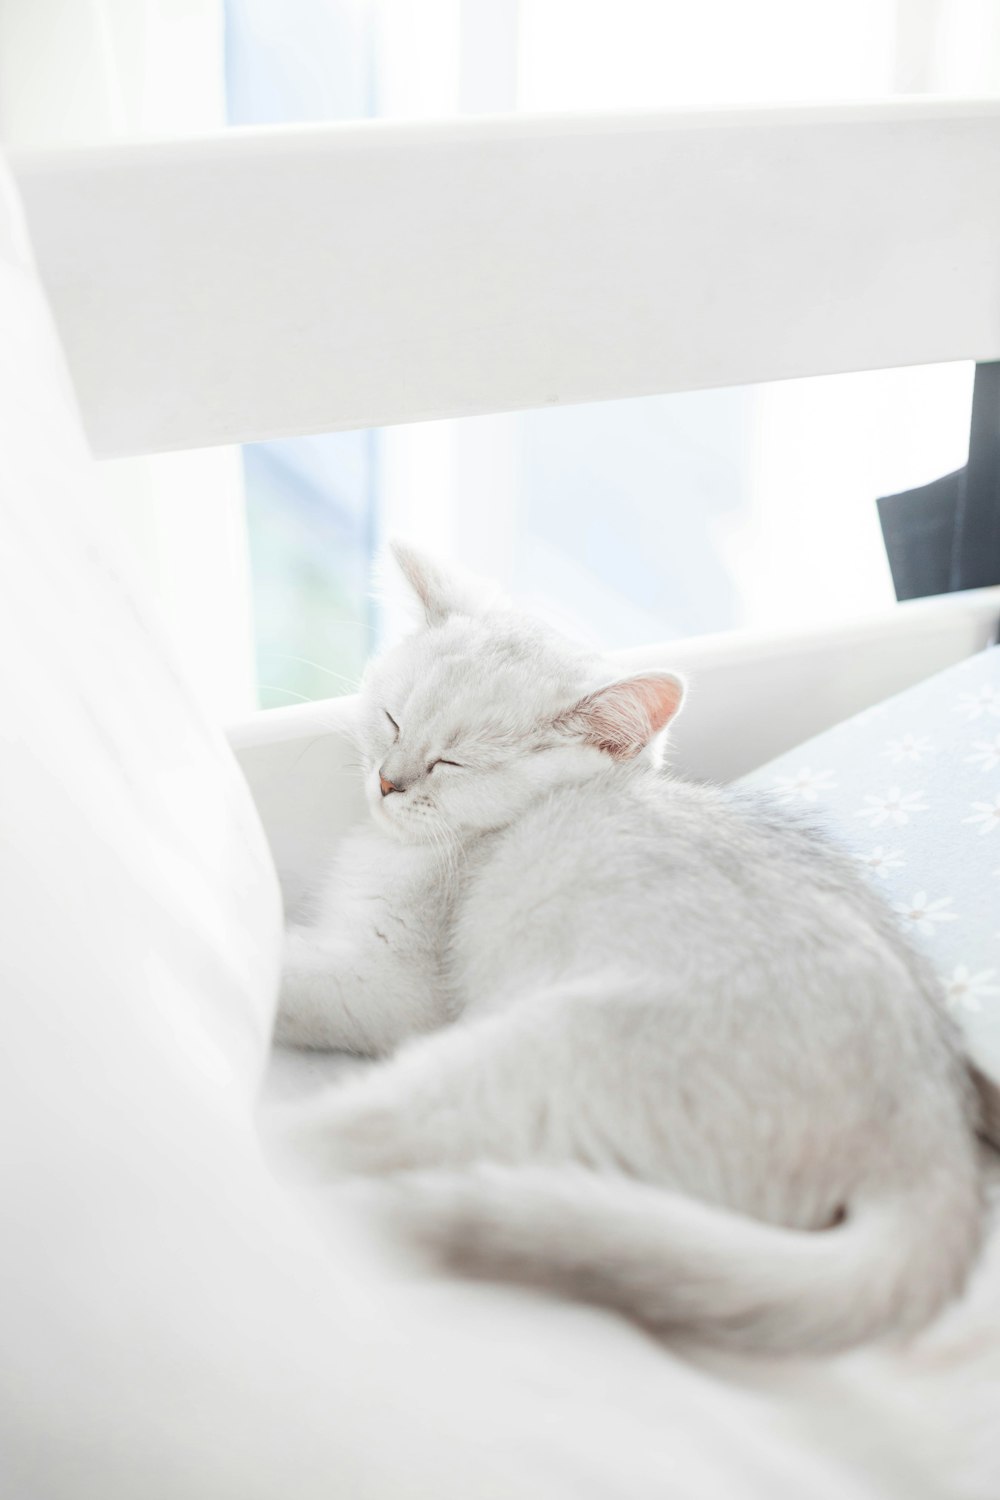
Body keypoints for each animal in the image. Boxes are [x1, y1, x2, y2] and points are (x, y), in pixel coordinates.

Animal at [275, 543, 983, 1362]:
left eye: (454, 763)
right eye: (392, 718)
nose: (389, 781)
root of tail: (938, 1138)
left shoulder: (392, 987)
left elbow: (288, 973)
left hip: (531, 1058)